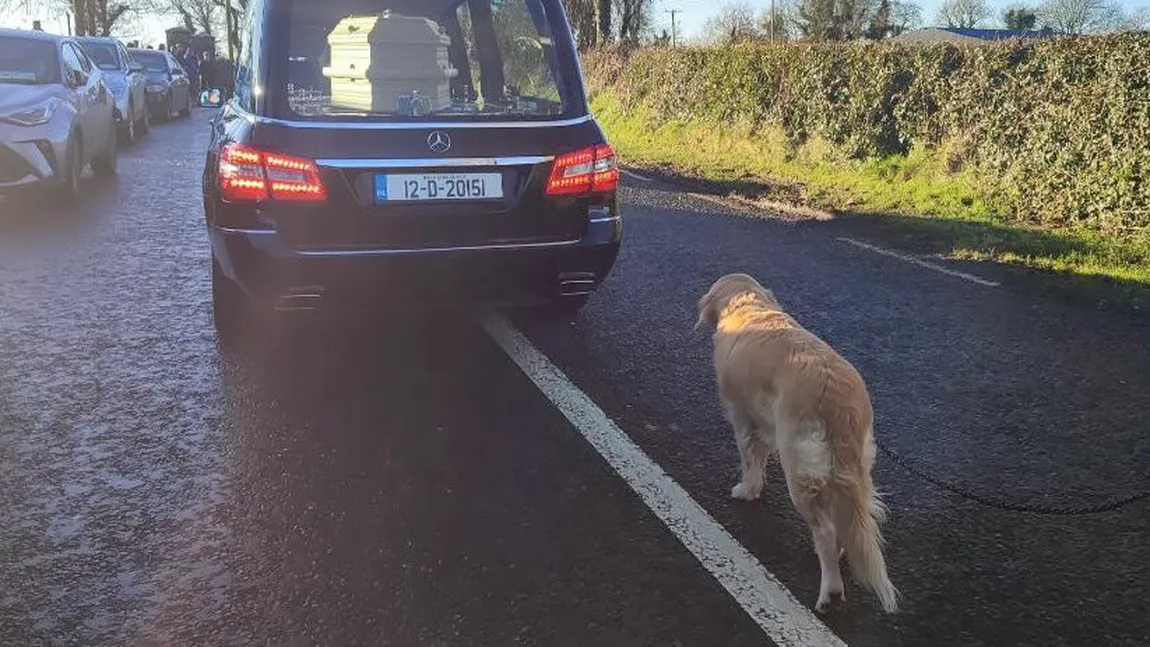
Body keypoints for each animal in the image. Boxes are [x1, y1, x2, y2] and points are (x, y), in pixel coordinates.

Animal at [690, 272, 897, 611]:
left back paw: (830, 591)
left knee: (824, 530)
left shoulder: (742, 418)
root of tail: (839, 401)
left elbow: (750, 459)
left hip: (799, 466)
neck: (751, 306)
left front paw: (746, 490)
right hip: (853, 467)